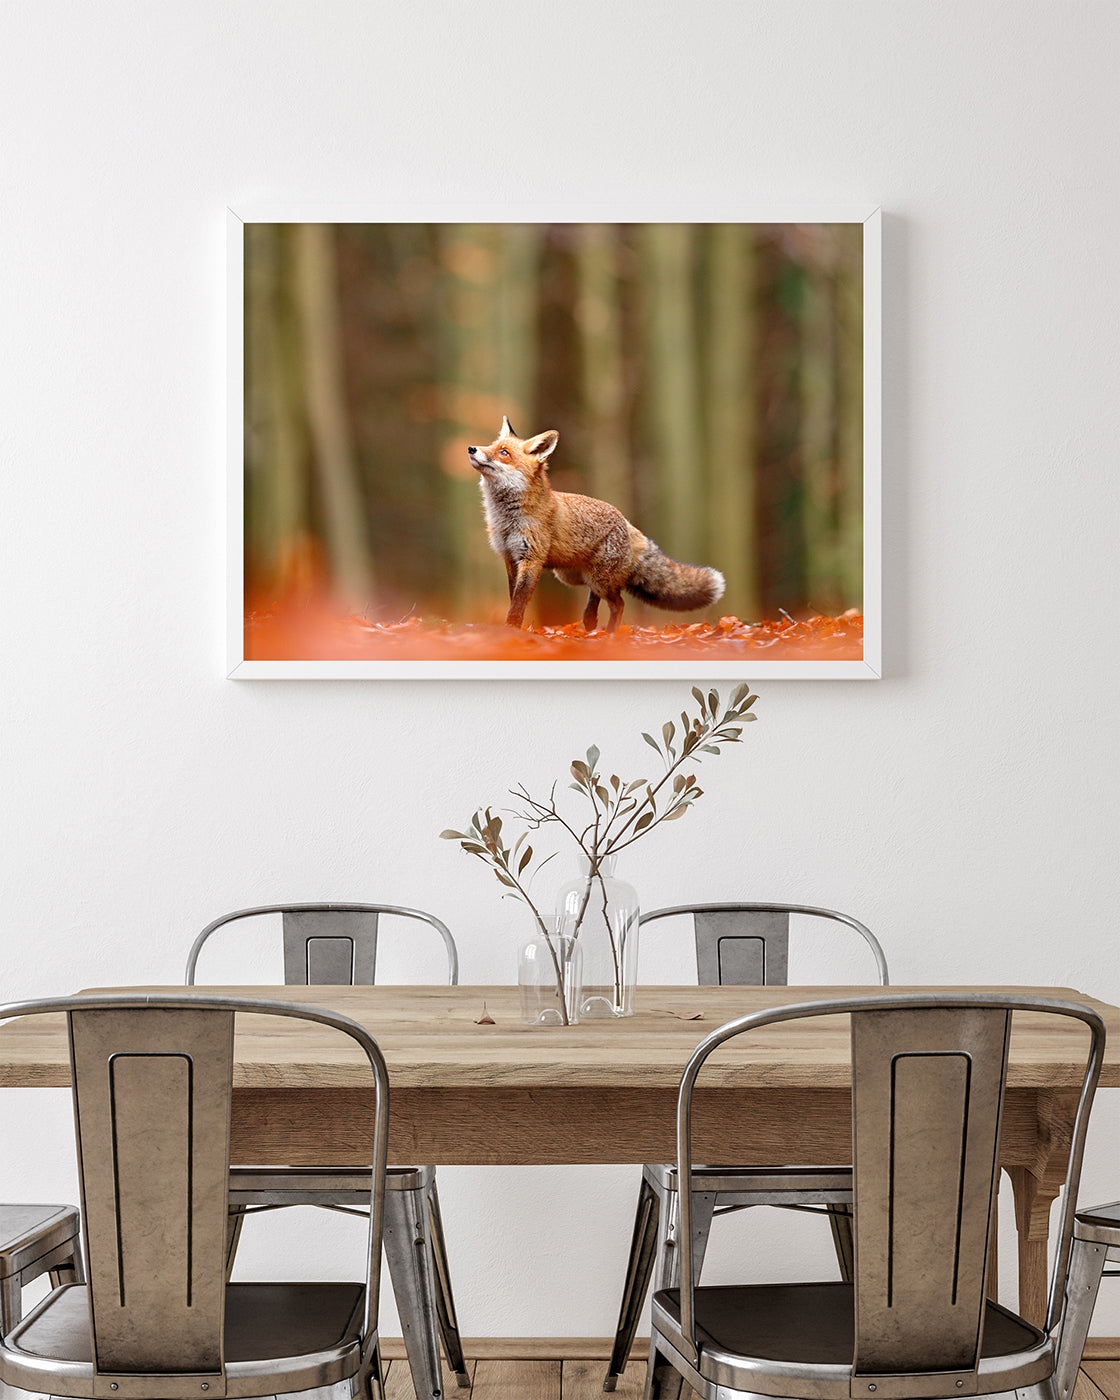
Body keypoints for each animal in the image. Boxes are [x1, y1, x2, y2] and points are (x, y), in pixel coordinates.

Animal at [467, 417, 725, 633]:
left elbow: (519, 601)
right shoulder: (510, 557)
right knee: (595, 603)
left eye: (504, 452)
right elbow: (513, 597)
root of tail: (626, 521)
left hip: (599, 579)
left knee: (619, 604)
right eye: (491, 445)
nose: (471, 448)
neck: (506, 519)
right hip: (576, 576)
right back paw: (591, 626)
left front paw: (511, 629)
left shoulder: (532, 558)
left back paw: (610, 635)